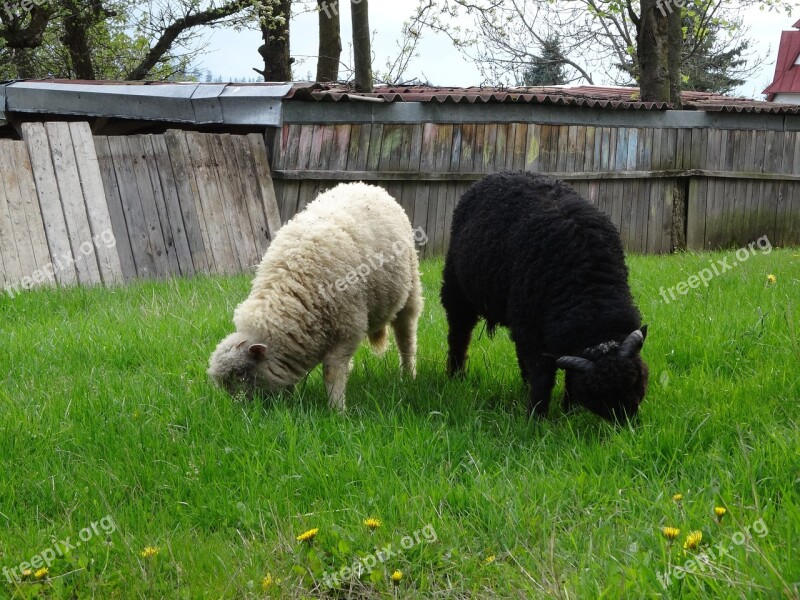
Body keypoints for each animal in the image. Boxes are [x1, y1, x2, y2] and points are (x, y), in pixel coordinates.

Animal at [209, 180, 428, 410]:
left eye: (241, 374)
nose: (243, 411)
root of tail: (365, 185)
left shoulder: (348, 329)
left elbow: (332, 372)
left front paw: (337, 409)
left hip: (410, 290)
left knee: (406, 338)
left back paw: (408, 375)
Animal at [438, 171, 648, 420]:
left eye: (636, 380)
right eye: (597, 393)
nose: (626, 423)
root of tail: (499, 173)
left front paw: (569, 410)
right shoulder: (532, 330)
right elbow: (543, 376)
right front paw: (536, 416)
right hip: (458, 290)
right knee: (459, 334)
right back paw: (456, 375)